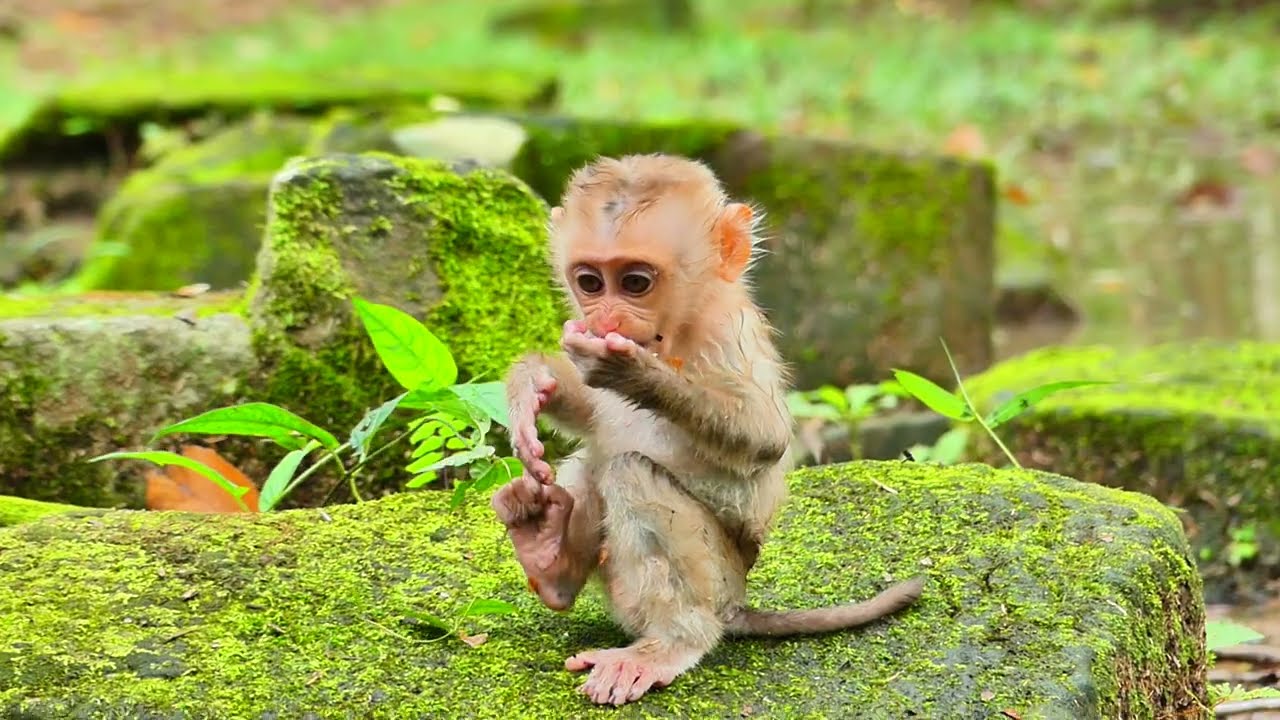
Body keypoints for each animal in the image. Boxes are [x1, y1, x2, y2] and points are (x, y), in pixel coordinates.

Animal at [490, 153, 925, 706]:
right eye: (590, 282)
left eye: (635, 283)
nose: (605, 318)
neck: (675, 333)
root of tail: (737, 603)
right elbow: (591, 415)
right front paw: (532, 384)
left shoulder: (726, 333)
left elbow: (766, 438)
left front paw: (632, 372)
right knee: (598, 455)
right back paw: (549, 558)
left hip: (715, 579)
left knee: (629, 471)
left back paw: (671, 642)